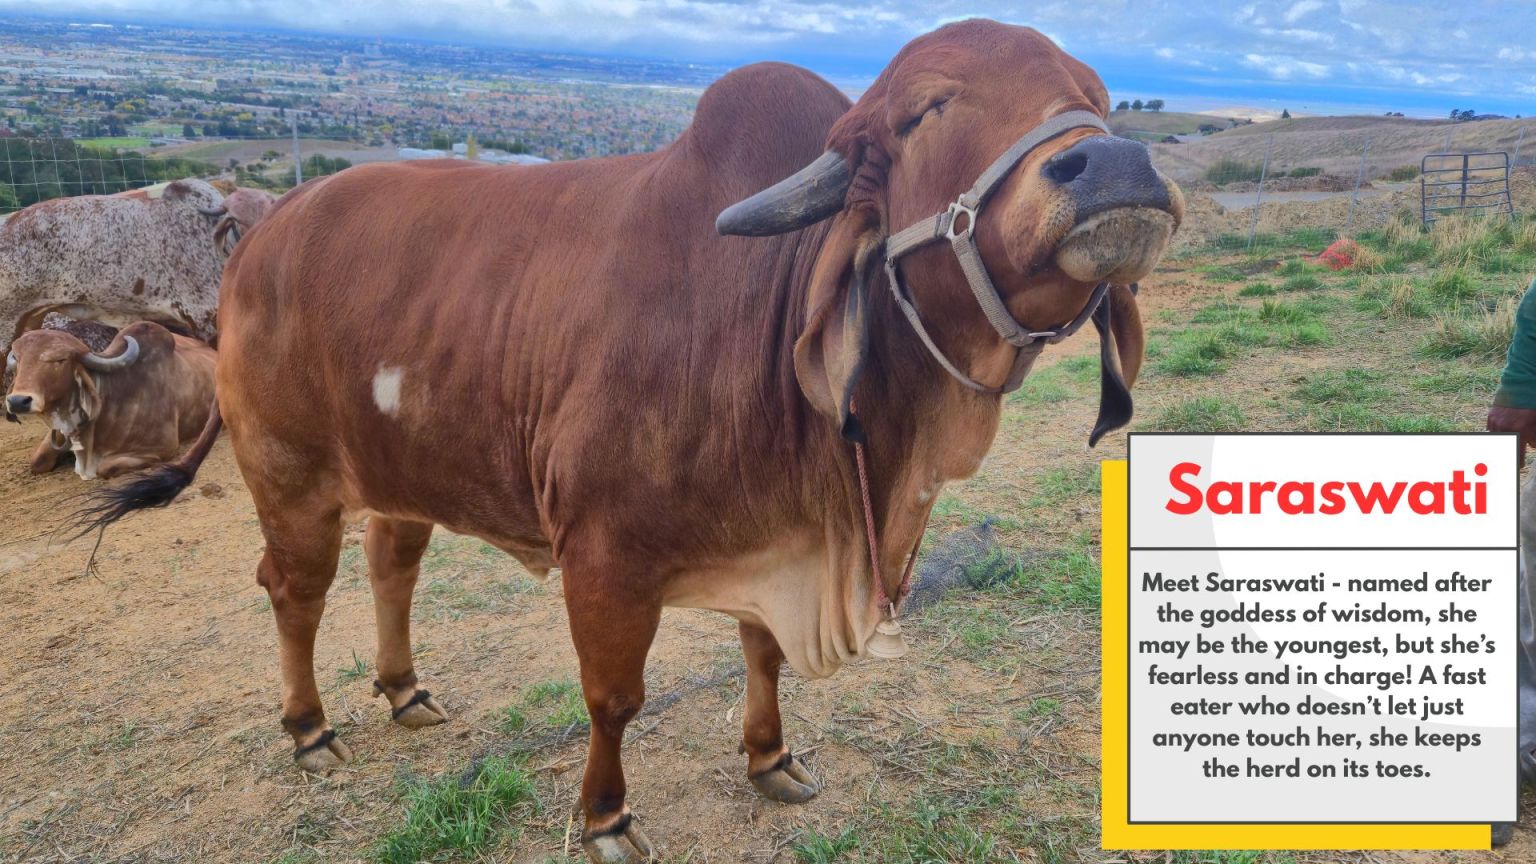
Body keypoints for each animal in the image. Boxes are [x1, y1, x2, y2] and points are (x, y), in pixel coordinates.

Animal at [7, 321, 215, 480]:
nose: (17, 401)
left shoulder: (163, 446)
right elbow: (37, 462)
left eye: (60, 360)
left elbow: (106, 467)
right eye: (18, 359)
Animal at [84, 21, 1181, 862]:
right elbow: (615, 696)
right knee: (294, 591)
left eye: (1096, 97)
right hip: (290, 476)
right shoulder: (606, 560)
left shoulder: (774, 536)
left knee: (393, 562)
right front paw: (605, 816)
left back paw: (404, 691)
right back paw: (311, 729)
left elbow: (762, 655)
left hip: (404, 472)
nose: (1116, 164)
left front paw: (771, 758)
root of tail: (259, 239)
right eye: (928, 109)